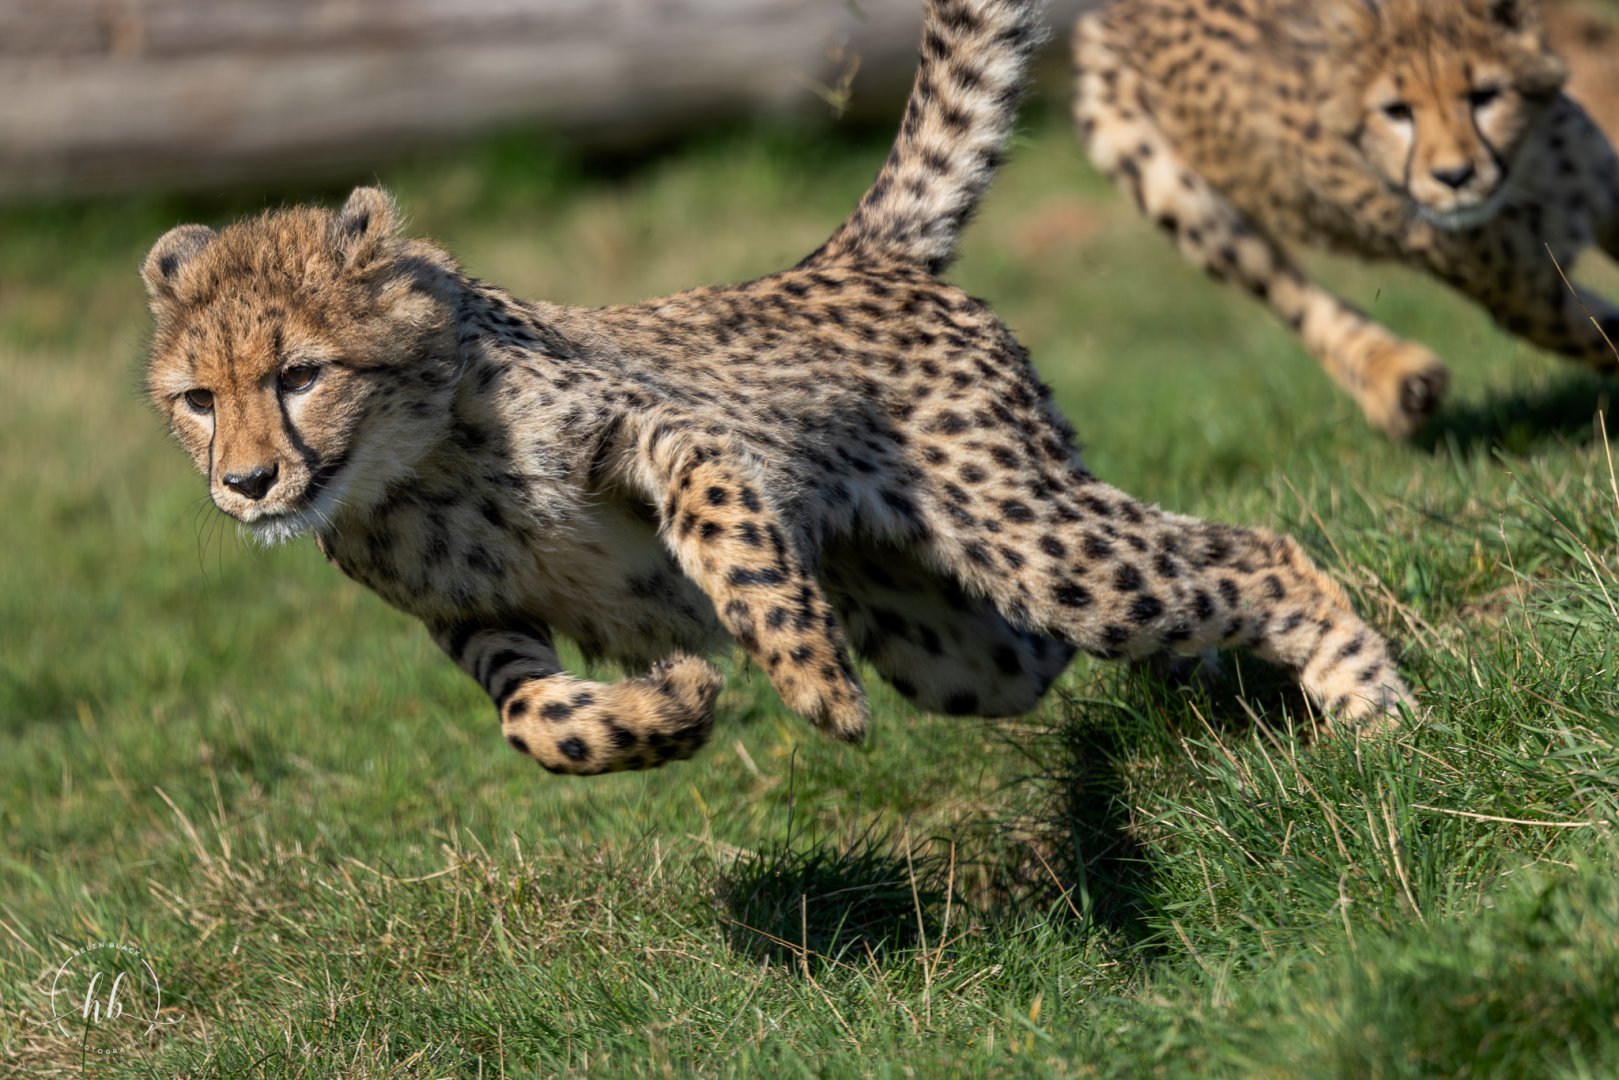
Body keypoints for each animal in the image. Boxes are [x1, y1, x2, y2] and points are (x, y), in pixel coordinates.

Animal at [141, 0, 1413, 778]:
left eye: (300, 375)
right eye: (197, 400)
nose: (247, 483)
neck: (407, 471)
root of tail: (847, 255)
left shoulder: (669, 429)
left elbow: (724, 534)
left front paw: (805, 677)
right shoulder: (472, 618)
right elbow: (531, 719)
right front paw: (661, 712)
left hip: (1028, 540)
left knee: (1250, 554)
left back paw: (1374, 713)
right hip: (958, 647)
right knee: (1096, 628)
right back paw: (1216, 691)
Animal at [1073, 0, 1619, 438]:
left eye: (1485, 94)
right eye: (1396, 110)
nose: (1455, 176)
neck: (1528, 171)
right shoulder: (1521, 295)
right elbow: (1596, 331)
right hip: (1160, 176)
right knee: (1287, 291)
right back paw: (1394, 378)